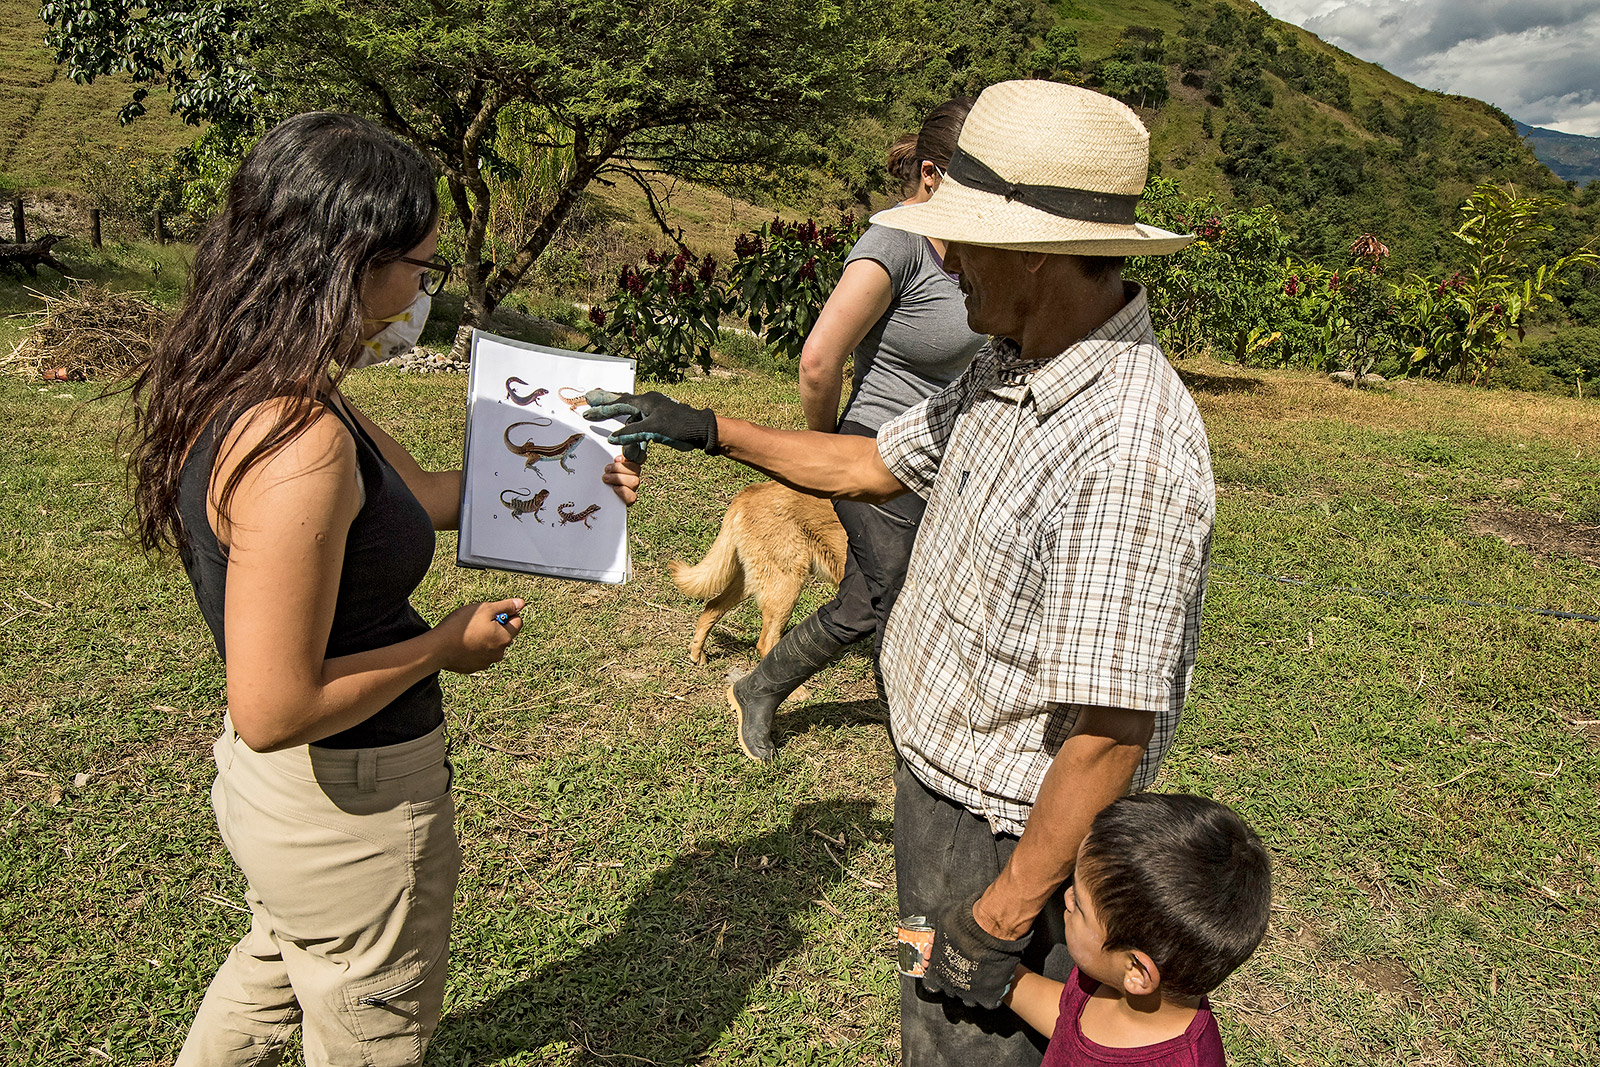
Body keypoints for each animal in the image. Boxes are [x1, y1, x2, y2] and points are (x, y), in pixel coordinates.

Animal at [668, 483, 851, 662]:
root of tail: (749, 491)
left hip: (754, 581)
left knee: (712, 607)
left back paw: (697, 654)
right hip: (785, 588)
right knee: (766, 643)